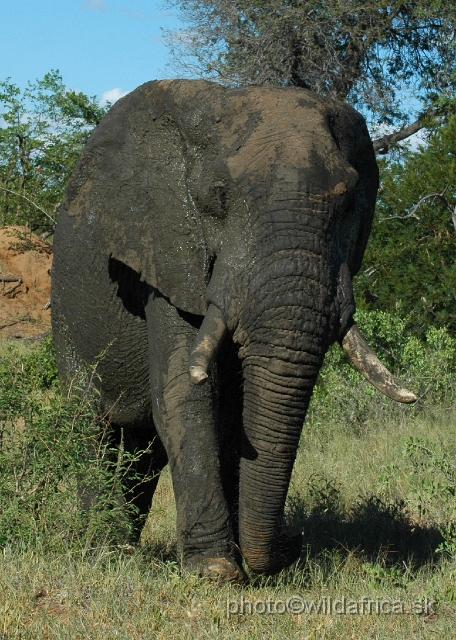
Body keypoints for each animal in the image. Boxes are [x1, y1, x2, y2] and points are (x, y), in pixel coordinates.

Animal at [50, 77, 416, 584]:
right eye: (217, 198)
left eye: (348, 203)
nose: (291, 548)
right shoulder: (164, 253)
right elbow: (185, 393)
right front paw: (216, 571)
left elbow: (234, 411)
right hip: (66, 315)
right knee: (89, 424)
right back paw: (105, 550)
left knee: (141, 450)